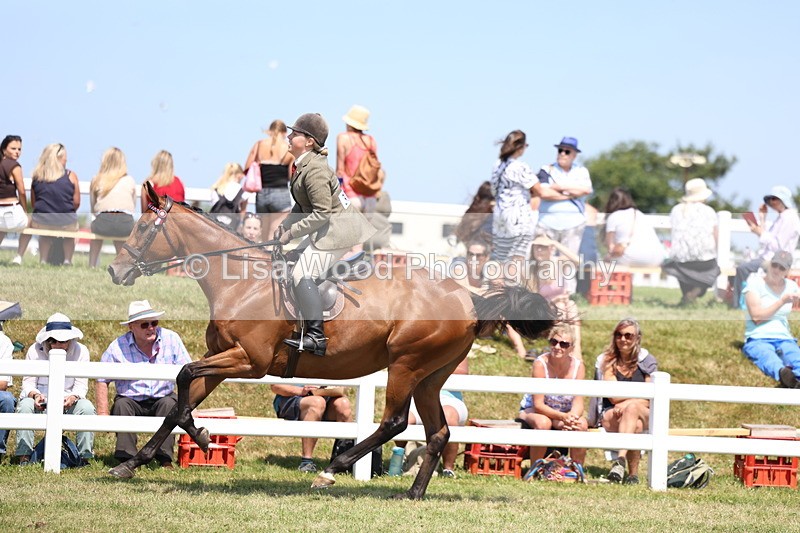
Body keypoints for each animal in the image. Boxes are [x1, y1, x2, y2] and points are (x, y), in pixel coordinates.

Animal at [106, 183, 556, 499]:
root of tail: (468, 298)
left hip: (406, 364)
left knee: (394, 422)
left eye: (143, 227)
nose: (114, 270)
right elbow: (178, 402)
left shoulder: (249, 361)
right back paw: (412, 493)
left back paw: (331, 470)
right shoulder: (221, 358)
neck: (240, 281)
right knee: (438, 433)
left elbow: (182, 375)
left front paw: (197, 436)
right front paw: (139, 461)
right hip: (431, 376)